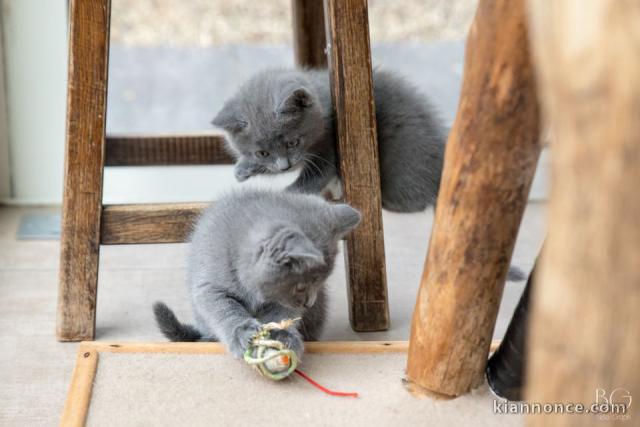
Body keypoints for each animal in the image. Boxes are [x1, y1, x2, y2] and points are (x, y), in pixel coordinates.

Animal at [151, 189, 360, 360]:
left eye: (319, 283)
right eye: (301, 286)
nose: (309, 303)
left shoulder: (283, 302)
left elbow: (283, 314)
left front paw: (282, 335)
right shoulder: (209, 286)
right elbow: (224, 309)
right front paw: (241, 333)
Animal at [212, 67, 448, 213]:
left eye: (292, 143)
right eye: (262, 153)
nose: (284, 165)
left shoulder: (328, 148)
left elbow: (313, 179)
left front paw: (283, 196)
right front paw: (243, 168)